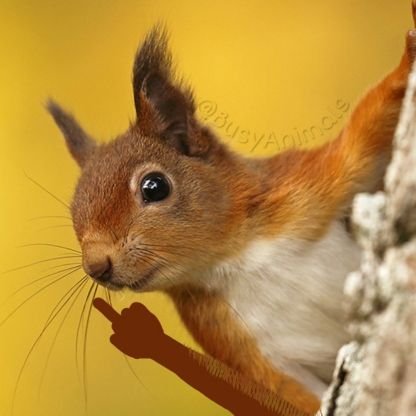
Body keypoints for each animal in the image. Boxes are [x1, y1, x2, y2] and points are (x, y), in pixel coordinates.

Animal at [47, 6, 416, 412]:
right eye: (73, 213)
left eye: (154, 187)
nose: (96, 266)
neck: (234, 259)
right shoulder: (231, 340)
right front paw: (144, 337)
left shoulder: (307, 190)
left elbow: (363, 136)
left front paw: (408, 55)